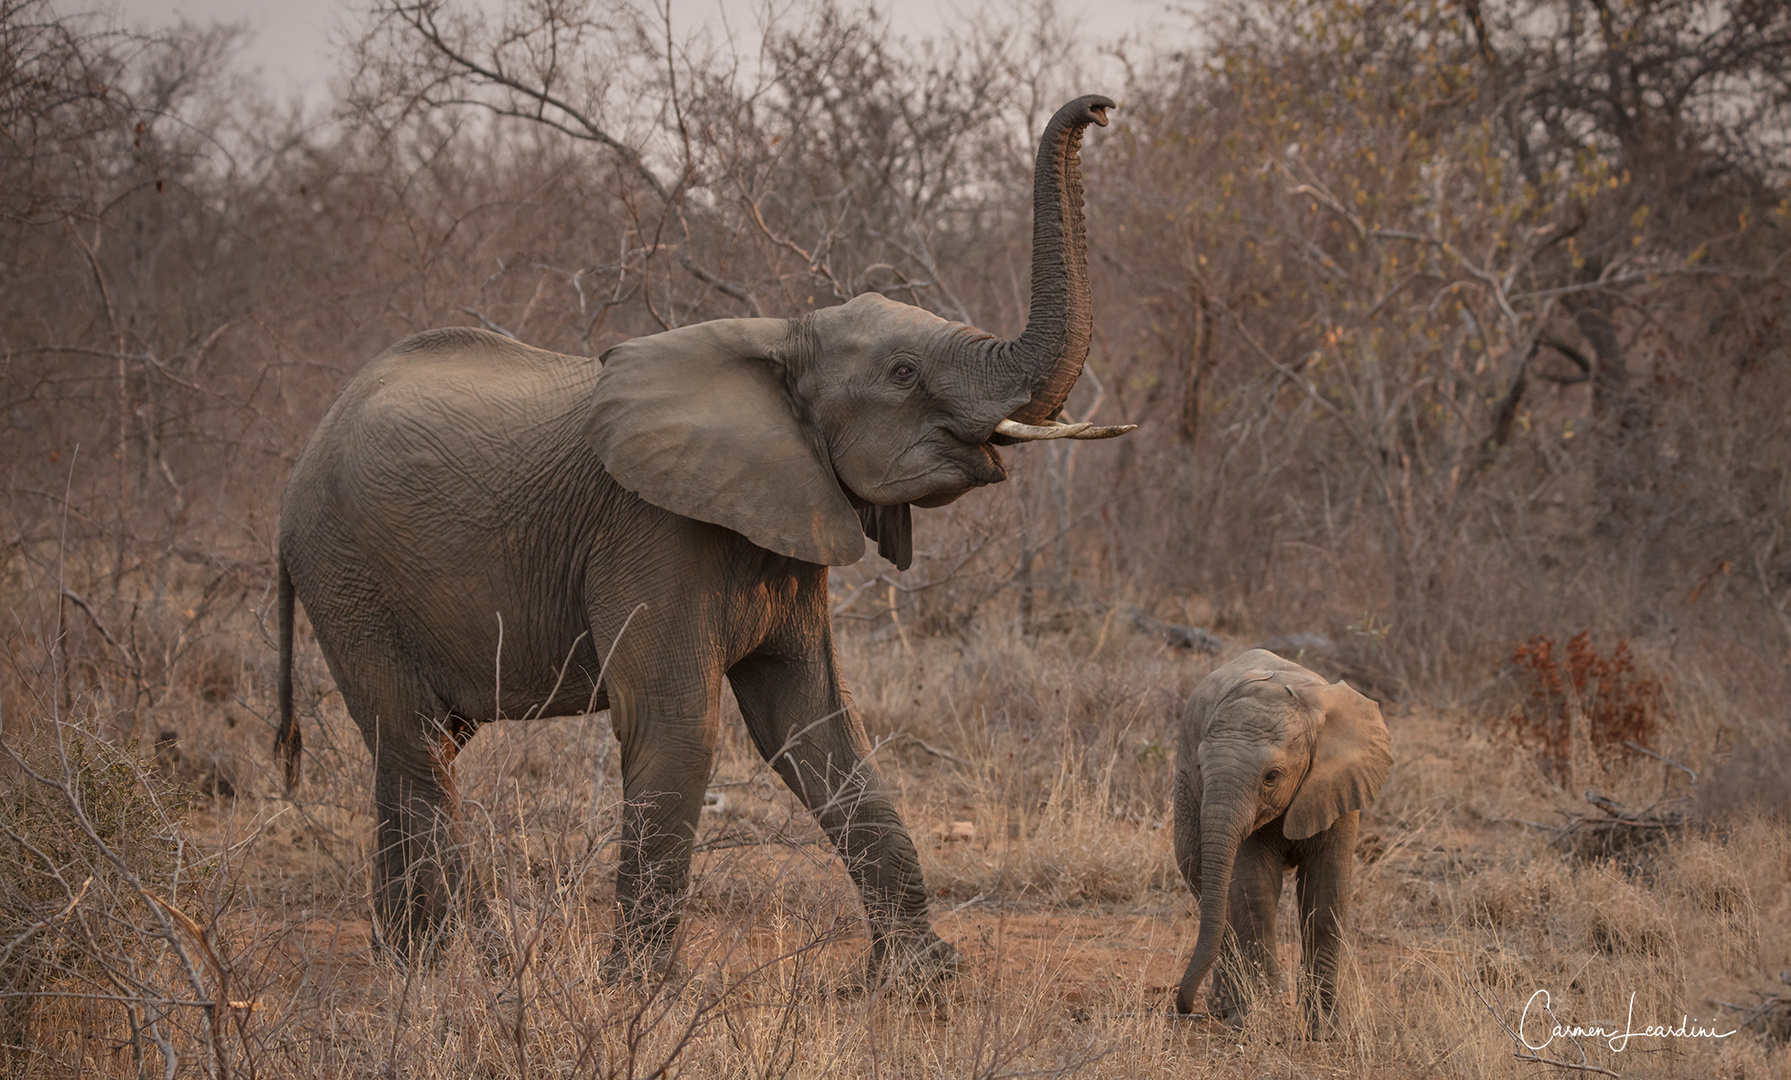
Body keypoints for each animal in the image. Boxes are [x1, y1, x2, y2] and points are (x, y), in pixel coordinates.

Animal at [272, 97, 1124, 981]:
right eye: (903, 374)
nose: (1100, 109)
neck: (780, 336)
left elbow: (817, 726)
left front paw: (925, 980)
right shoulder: (651, 532)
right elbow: (680, 728)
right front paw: (641, 992)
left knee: (414, 747)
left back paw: (406, 962)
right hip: (349, 576)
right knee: (415, 745)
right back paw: (469, 966)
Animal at [1174, 651, 1396, 1031]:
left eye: (1271, 776)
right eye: (1202, 768)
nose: (1183, 1008)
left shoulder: (1339, 786)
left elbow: (1325, 890)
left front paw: (1326, 1032)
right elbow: (1256, 889)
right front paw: (1257, 1019)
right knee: (1206, 886)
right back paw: (1227, 1010)